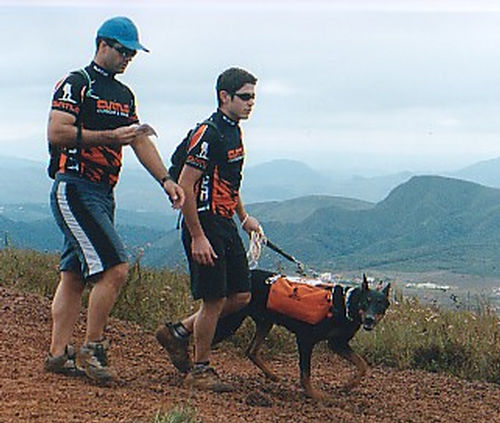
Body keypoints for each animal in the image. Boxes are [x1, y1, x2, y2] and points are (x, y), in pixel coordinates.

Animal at [214, 272, 390, 400]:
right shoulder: (306, 339)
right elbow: (305, 374)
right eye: (366, 301)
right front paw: (315, 395)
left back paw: (272, 375)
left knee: (251, 351)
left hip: (265, 323)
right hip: (233, 319)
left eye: (380, 304)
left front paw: (350, 385)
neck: (344, 304)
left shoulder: (337, 344)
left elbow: (362, 364)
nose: (369, 319)